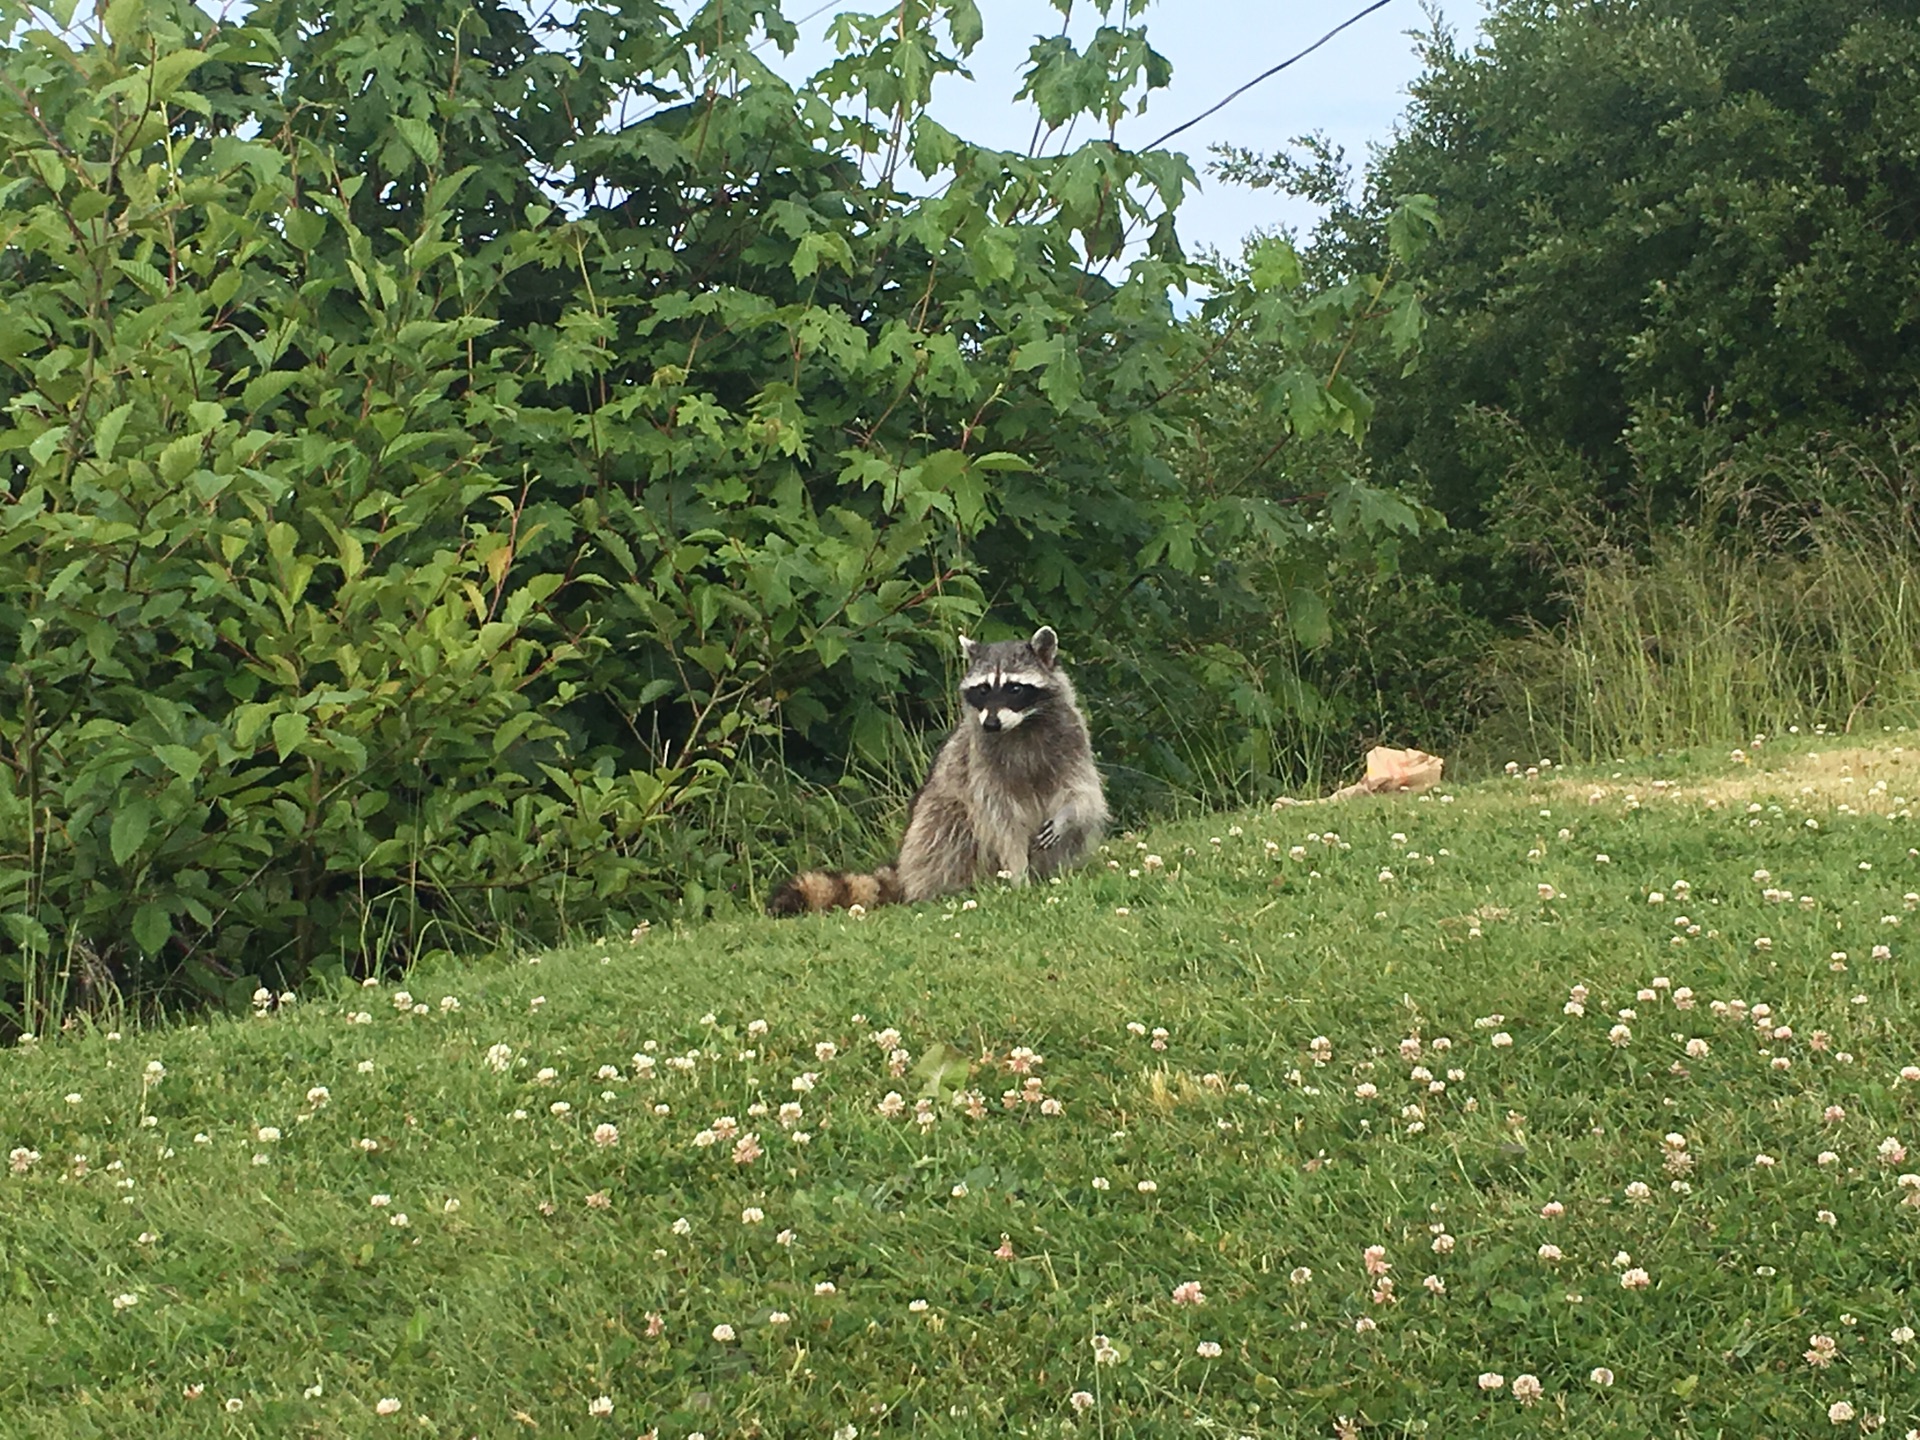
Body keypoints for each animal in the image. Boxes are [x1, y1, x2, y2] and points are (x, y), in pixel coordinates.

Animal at [764, 625, 1113, 917]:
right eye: (983, 690)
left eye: (1015, 688)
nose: (991, 723)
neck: (1022, 725)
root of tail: (906, 871)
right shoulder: (980, 762)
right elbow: (1000, 819)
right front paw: (1017, 874)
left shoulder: (1072, 739)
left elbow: (1084, 795)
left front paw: (1067, 816)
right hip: (932, 819)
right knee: (948, 823)